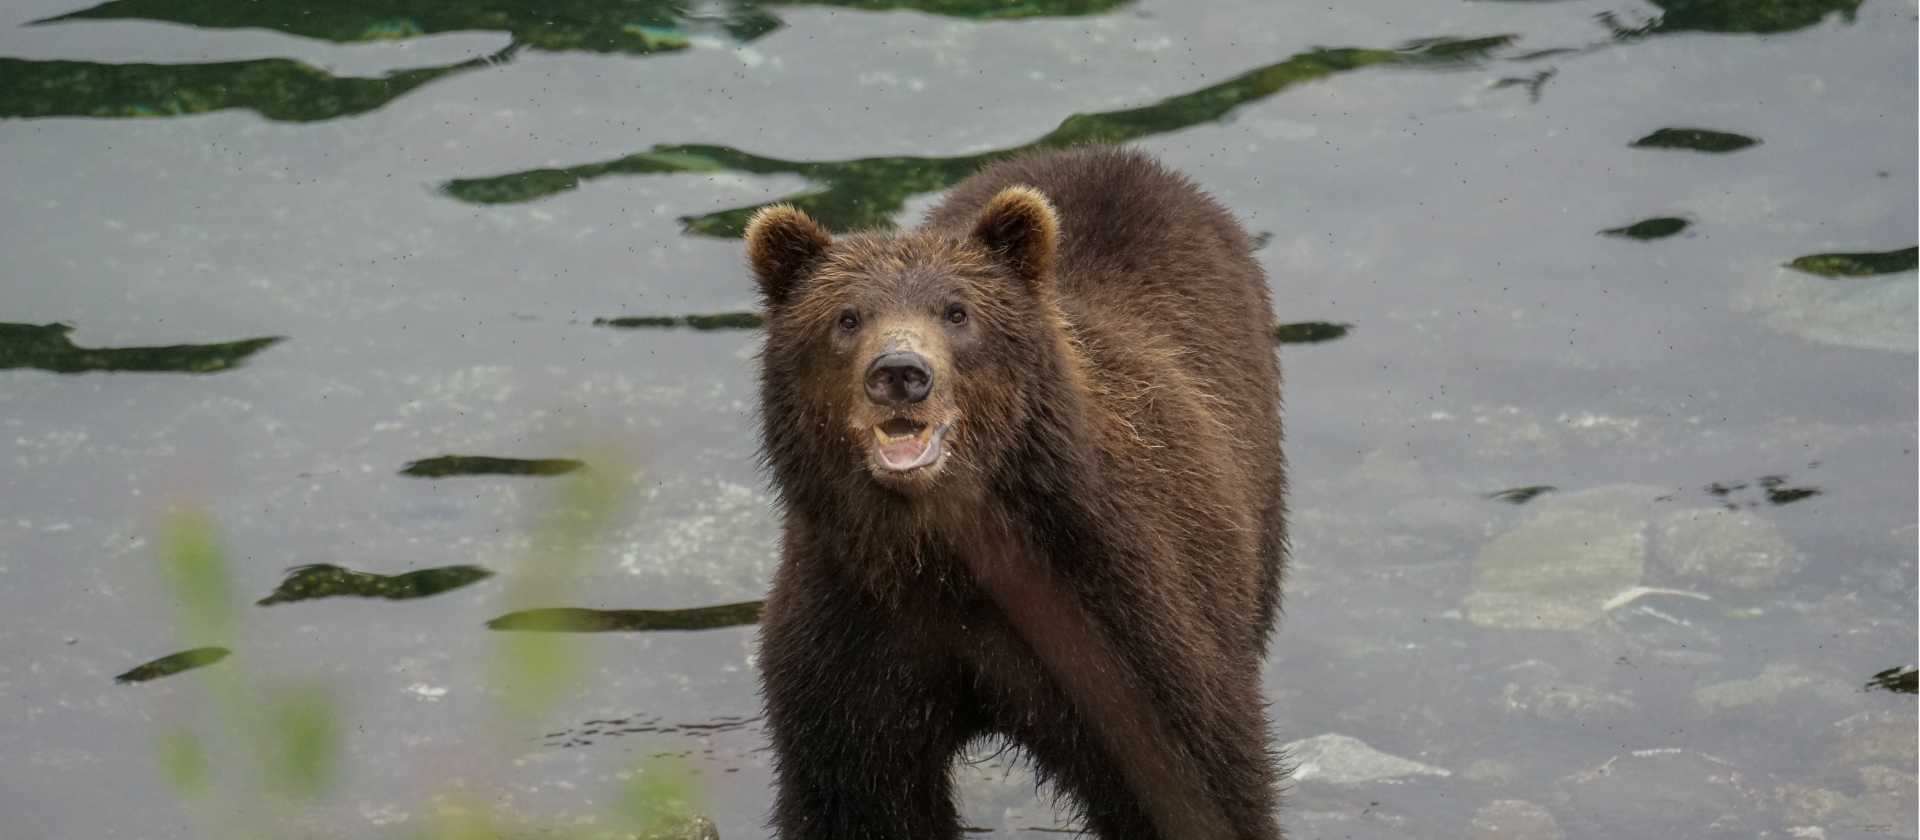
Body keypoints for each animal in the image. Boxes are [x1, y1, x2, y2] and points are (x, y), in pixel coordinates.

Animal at [745, 145, 1287, 840]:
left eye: (957, 311)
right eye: (847, 317)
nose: (900, 373)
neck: (940, 556)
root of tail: (1115, 155)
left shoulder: (1114, 615)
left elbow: (1192, 786)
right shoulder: (854, 629)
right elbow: (860, 796)